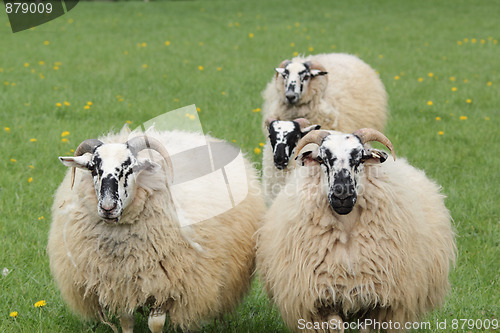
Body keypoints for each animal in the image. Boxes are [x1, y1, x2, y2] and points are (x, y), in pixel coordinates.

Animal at [48, 126, 268, 332]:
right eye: (93, 169)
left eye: (130, 168)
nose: (108, 207)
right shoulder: (121, 285)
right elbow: (126, 321)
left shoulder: (165, 284)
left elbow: (155, 323)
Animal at [256, 127, 456, 332]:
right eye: (322, 159)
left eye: (360, 158)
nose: (341, 194)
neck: (347, 234)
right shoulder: (323, 301)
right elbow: (336, 326)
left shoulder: (378, 302)